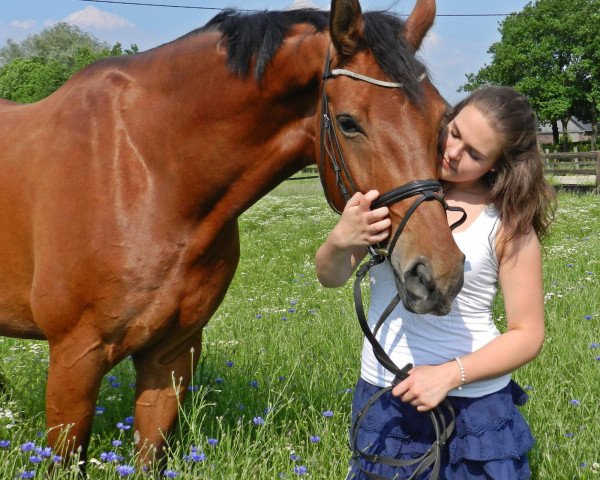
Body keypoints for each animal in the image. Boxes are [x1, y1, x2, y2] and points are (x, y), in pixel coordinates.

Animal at [0, 0, 464, 466]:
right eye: (349, 122)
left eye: (441, 119)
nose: (438, 276)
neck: (142, 171)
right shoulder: (75, 359)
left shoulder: (172, 355)